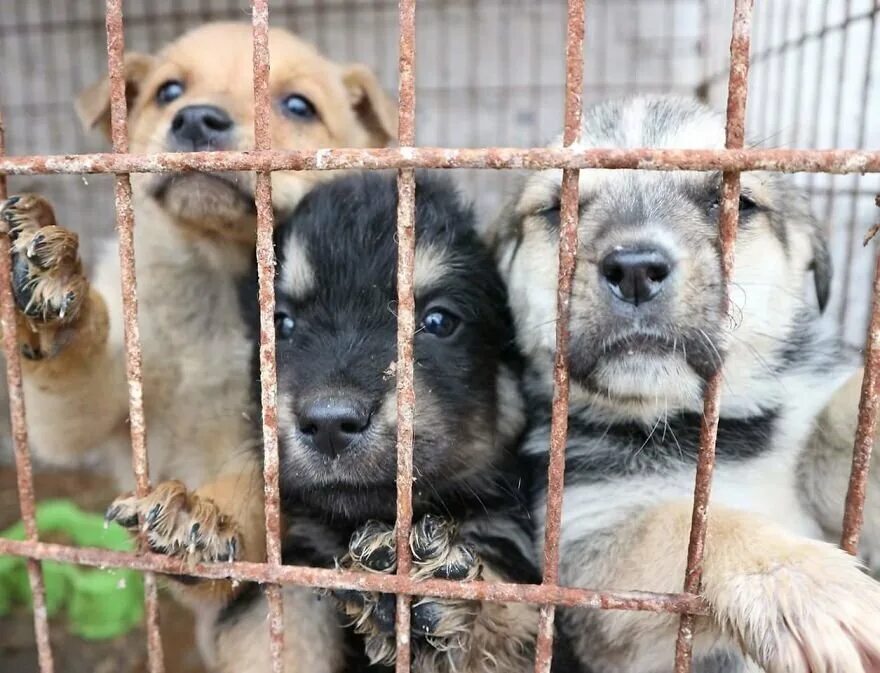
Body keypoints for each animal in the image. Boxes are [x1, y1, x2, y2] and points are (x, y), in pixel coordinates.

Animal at [0, 19, 396, 668]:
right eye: (168, 91)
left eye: (298, 106)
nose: (197, 119)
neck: (211, 280)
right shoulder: (86, 413)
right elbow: (77, 363)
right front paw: (55, 291)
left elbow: (253, 491)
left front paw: (197, 515)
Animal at [217, 172, 540, 672]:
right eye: (282, 323)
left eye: (439, 320)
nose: (330, 424)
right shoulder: (300, 558)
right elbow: (277, 618)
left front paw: (438, 585)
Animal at [492, 96, 880, 672]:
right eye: (556, 209)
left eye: (737, 203)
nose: (634, 270)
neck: (693, 425)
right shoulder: (587, 551)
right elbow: (687, 524)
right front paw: (805, 581)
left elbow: (839, 427)